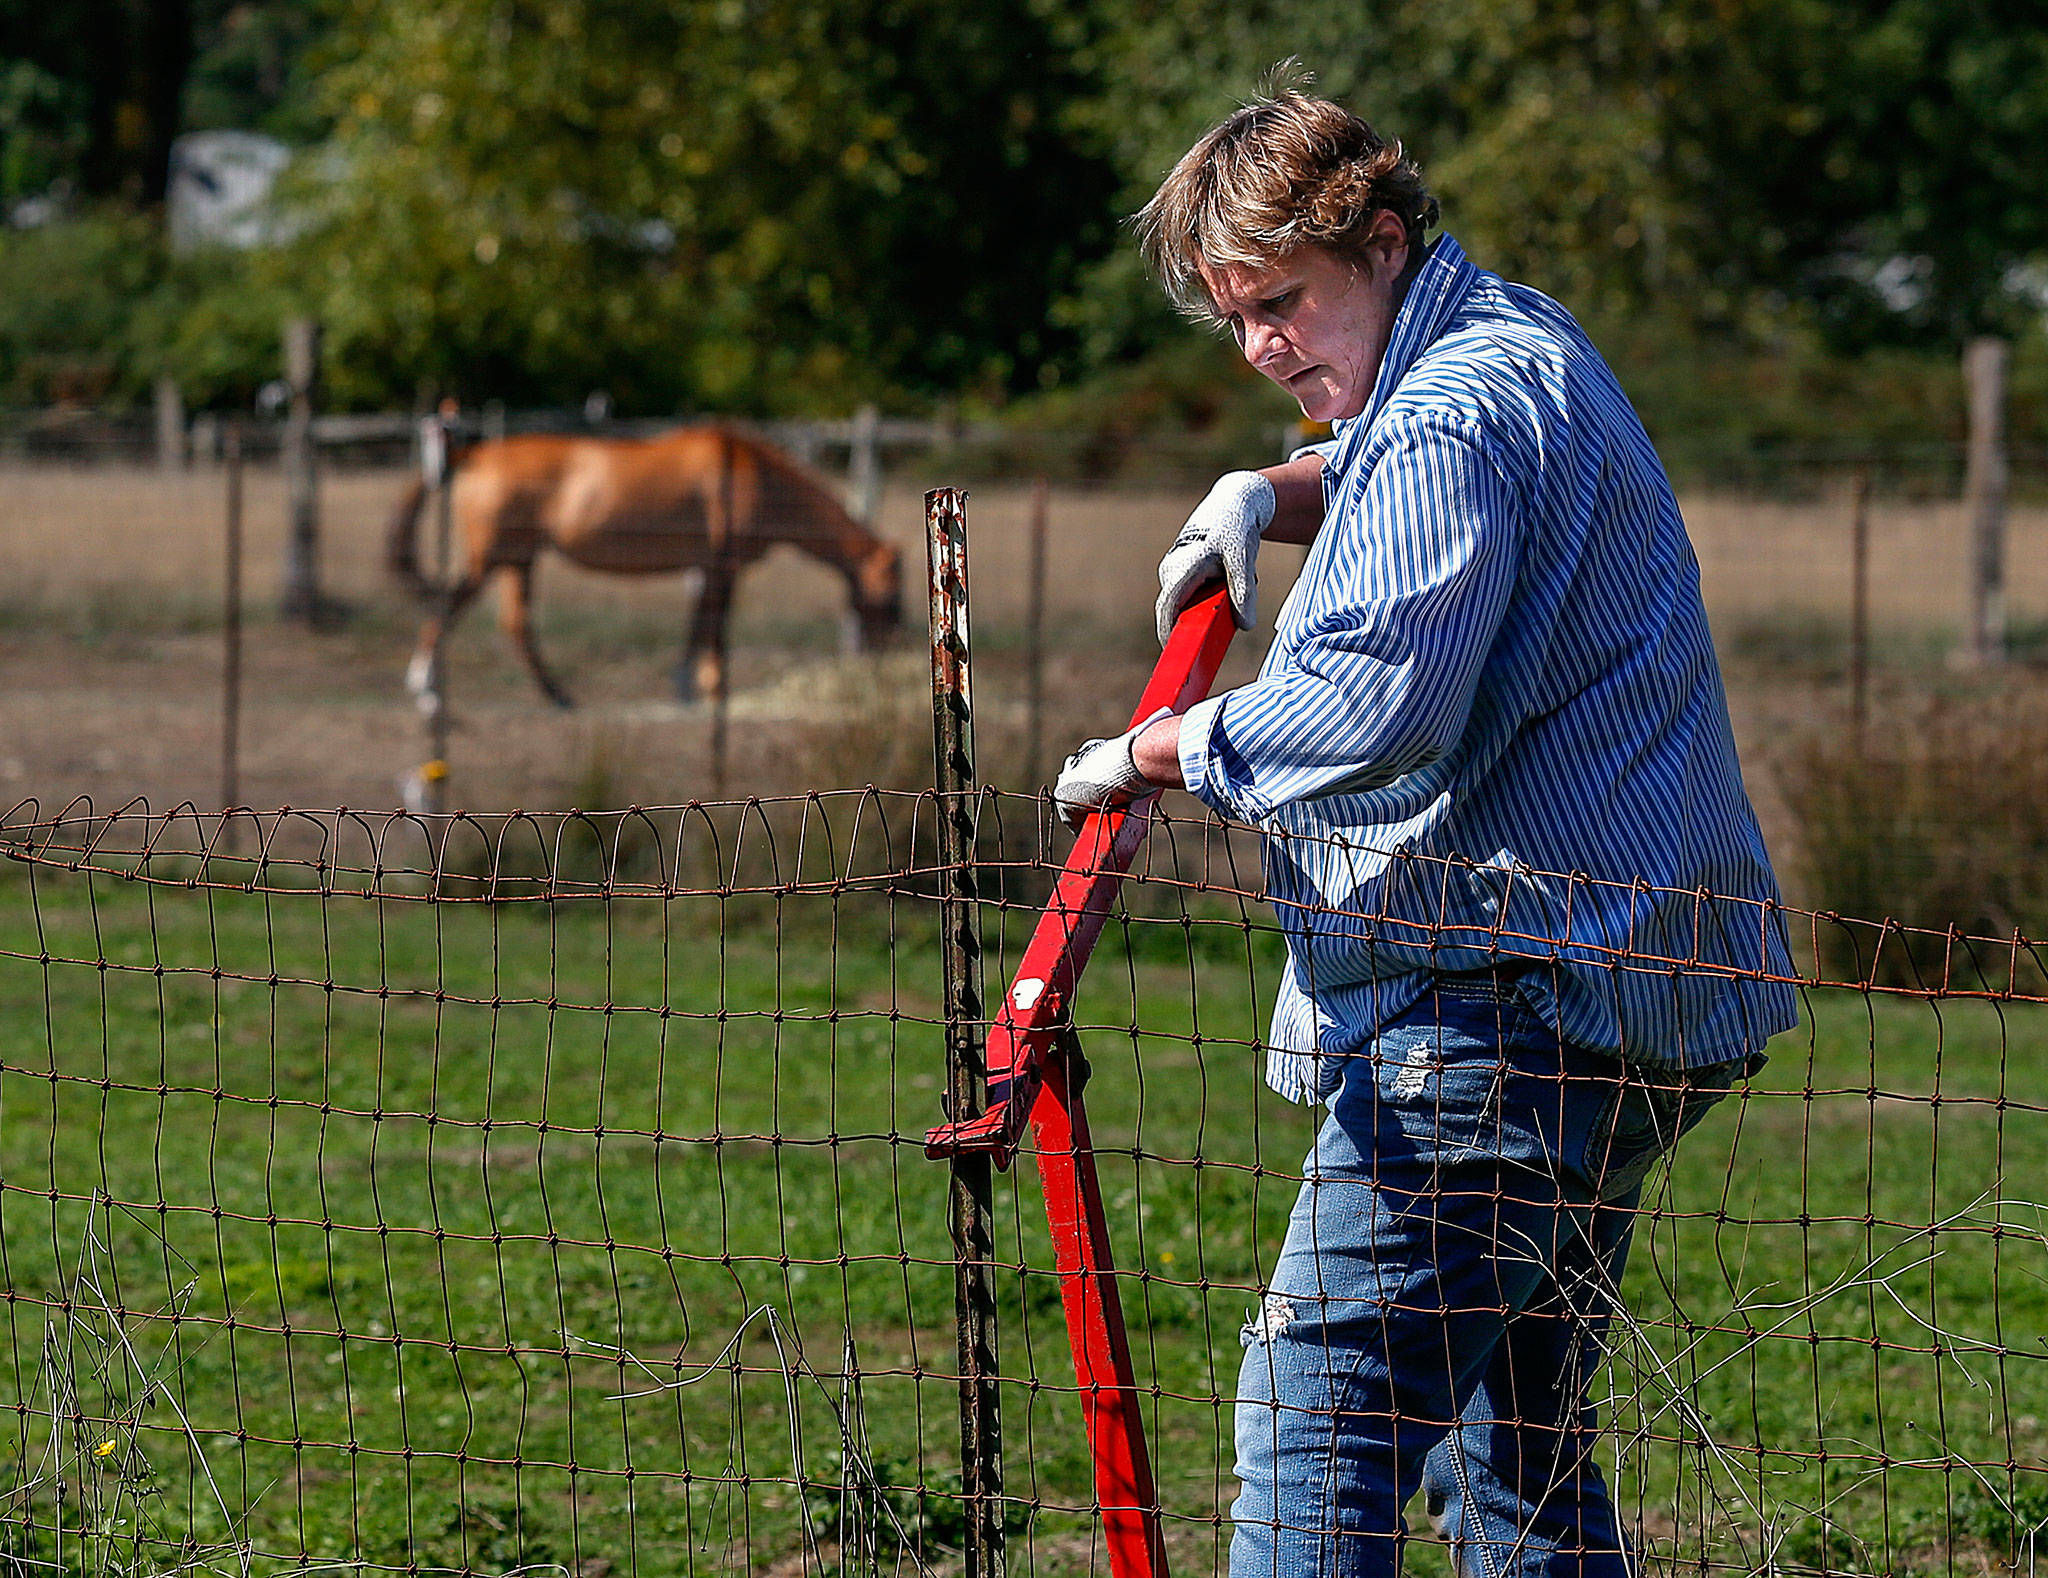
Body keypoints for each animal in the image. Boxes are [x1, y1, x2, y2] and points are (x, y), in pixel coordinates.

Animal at [387, 425, 901, 708]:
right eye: (893, 595)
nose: (881, 654)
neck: (759, 478)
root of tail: (474, 454)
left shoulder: (705, 568)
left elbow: (697, 627)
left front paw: (687, 687)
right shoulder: (724, 567)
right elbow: (712, 628)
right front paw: (709, 686)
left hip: (520, 559)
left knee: (514, 624)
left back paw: (558, 696)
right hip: (492, 556)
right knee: (450, 606)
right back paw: (422, 682)